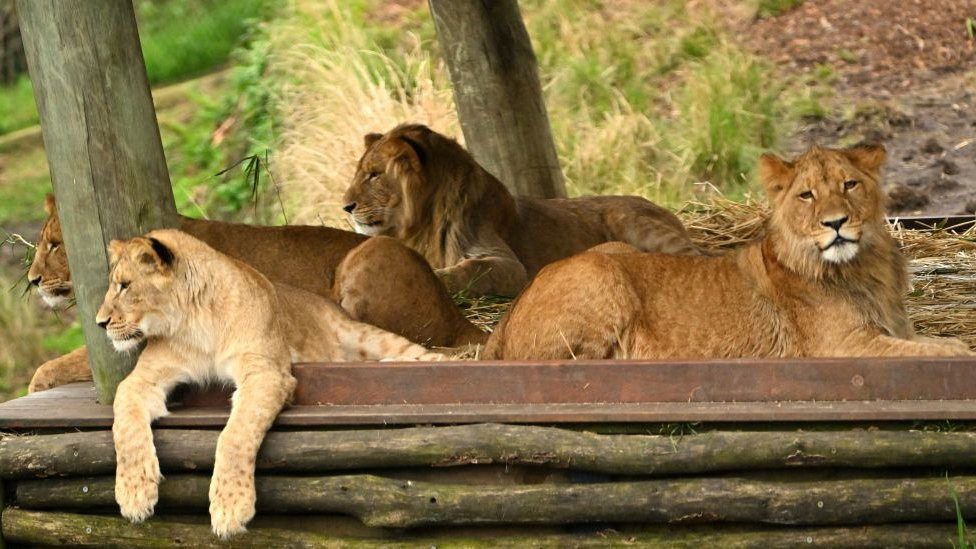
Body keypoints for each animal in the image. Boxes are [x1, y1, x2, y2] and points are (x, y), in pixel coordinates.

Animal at [26, 196, 484, 392]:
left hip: (368, 255)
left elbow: (65, 362)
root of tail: (460, 315)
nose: (32, 280)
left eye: (53, 244)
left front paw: (35, 385)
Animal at [101, 229, 444, 538]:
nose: (99, 323)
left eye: (124, 286)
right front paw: (133, 493)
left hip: (365, 335)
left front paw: (230, 507)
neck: (193, 323)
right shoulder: (144, 378)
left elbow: (235, 435)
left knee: (427, 355)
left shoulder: (265, 372)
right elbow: (124, 423)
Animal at [342, 124, 701, 297]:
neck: (424, 221)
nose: (345, 206)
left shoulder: (511, 267)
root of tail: (662, 207)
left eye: (374, 174)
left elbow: (468, 271)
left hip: (633, 221)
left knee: (697, 256)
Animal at [484, 144, 974, 360]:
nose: (835, 223)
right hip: (601, 274)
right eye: (807, 195)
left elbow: (948, 342)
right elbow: (949, 354)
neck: (865, 267)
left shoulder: (895, 332)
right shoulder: (842, 347)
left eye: (849, 184)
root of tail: (504, 319)